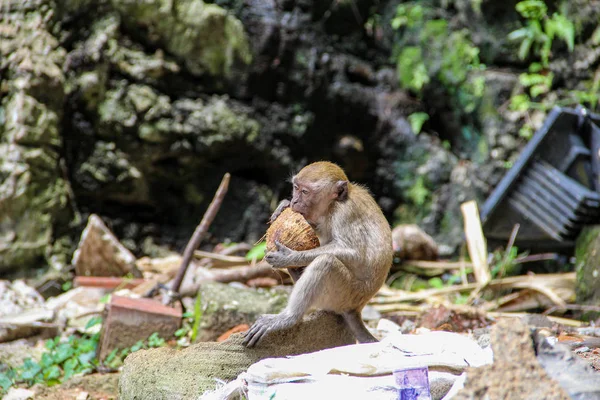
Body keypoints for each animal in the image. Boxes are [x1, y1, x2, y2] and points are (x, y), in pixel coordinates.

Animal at [244, 161, 394, 348]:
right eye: (296, 187)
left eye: (305, 192)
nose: (294, 200)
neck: (332, 206)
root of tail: (356, 308)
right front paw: (283, 205)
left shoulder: (345, 213)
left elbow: (354, 252)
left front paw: (289, 257)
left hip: (346, 294)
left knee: (326, 263)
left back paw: (288, 318)